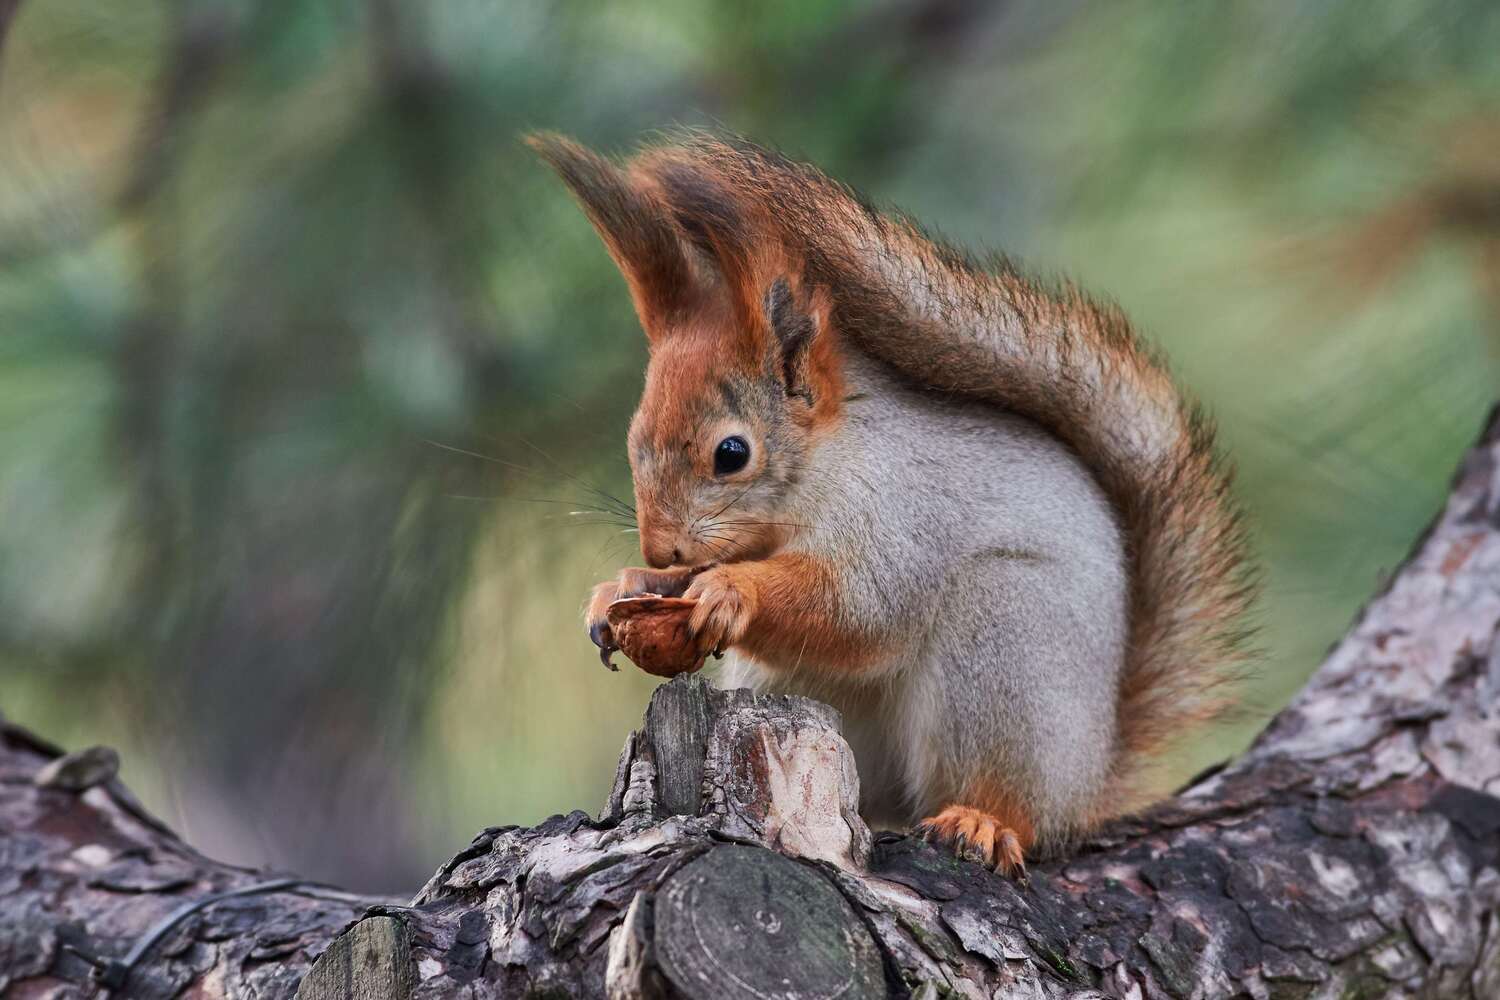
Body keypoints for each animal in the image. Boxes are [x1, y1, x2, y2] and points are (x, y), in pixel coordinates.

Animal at [528, 131, 1255, 876]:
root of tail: (1091, 779)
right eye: (633, 437)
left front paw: (730, 590)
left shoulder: (901, 510)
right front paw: (623, 588)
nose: (659, 547)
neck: (823, 467)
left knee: (1008, 793)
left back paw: (983, 820)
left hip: (1004, 643)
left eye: (732, 453)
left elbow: (863, 608)